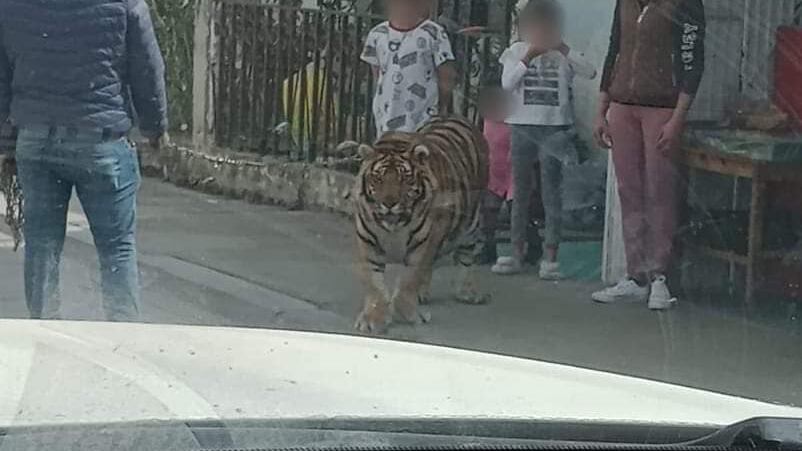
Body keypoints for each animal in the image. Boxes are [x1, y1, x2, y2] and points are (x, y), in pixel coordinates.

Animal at [352, 117, 491, 334]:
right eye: (379, 178)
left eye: (404, 179)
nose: (389, 203)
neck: (394, 227)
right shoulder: (368, 243)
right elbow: (374, 283)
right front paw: (373, 319)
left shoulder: (424, 242)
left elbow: (410, 278)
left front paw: (409, 314)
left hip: (470, 224)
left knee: (466, 257)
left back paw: (467, 292)